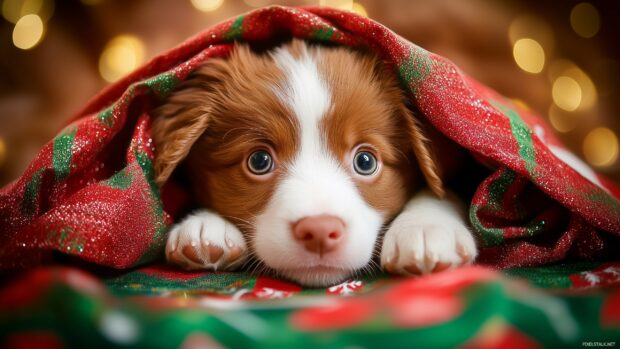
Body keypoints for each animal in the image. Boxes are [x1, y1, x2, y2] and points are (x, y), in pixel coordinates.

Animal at [153, 40, 478, 286]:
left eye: (365, 161)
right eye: (259, 161)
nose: (320, 231)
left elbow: (440, 189)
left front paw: (426, 228)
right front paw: (205, 225)